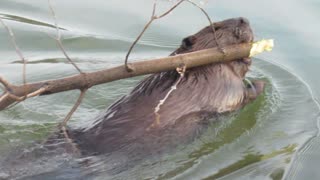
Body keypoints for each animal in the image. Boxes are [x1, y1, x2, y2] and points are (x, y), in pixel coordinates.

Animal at [69, 16, 264, 158]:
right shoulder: (222, 86)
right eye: (215, 27)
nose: (244, 19)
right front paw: (259, 84)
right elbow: (239, 98)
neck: (197, 72)